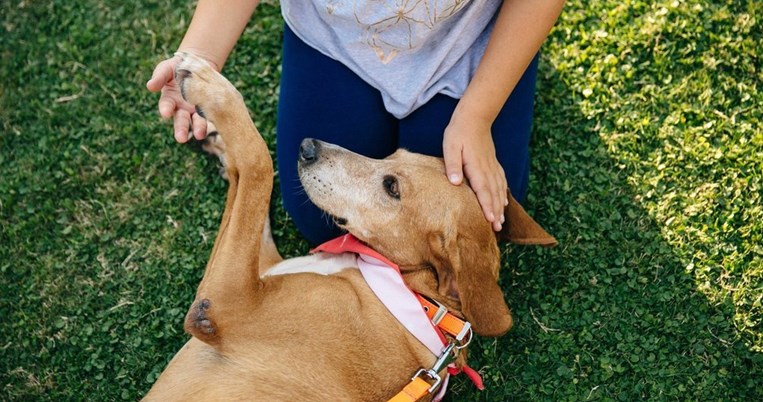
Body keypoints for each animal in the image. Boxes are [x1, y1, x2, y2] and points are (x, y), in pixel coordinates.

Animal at [143, 54, 556, 402]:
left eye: (392, 187)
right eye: (395, 154)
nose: (307, 146)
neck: (419, 294)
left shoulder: (224, 303)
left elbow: (259, 163)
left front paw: (210, 87)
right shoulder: (262, 265)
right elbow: (250, 185)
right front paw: (216, 138)